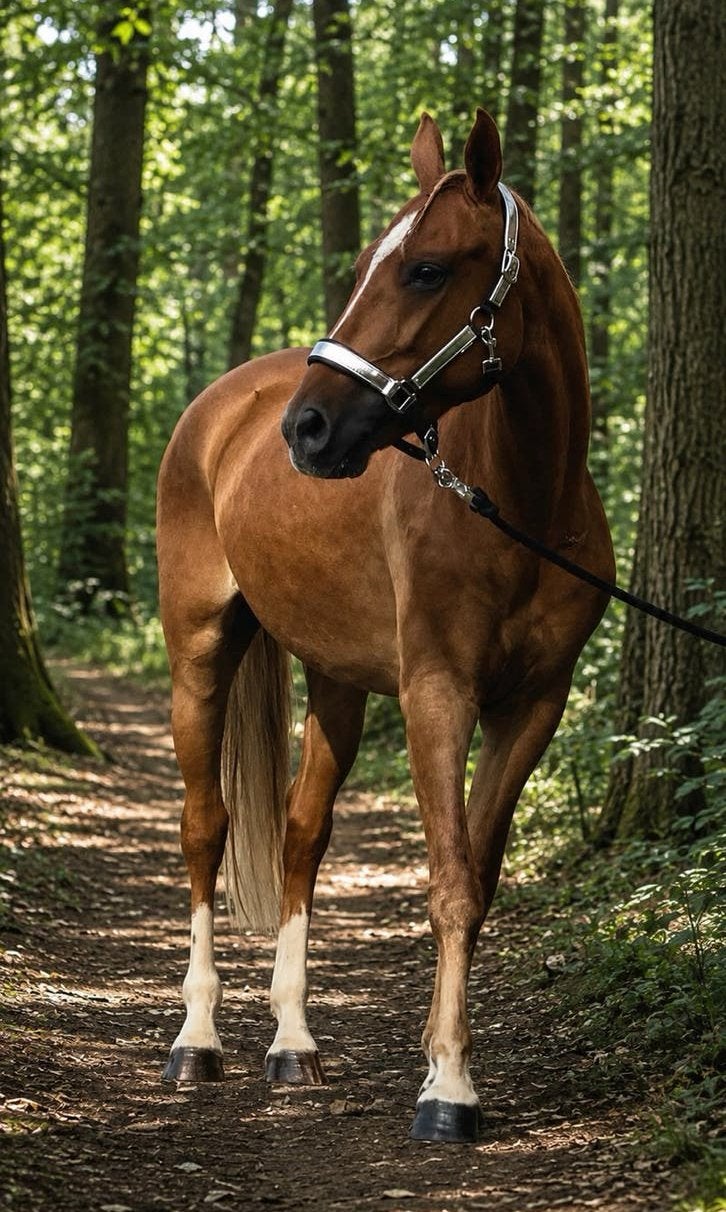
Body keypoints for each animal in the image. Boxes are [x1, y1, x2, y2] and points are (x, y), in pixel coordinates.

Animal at [156, 108, 614, 1143]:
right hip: (200, 656)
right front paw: (448, 1088)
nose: (308, 429)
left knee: (299, 836)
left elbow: (474, 880)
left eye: (428, 269)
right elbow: (448, 879)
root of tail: (224, 407)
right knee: (206, 829)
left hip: (336, 683)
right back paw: (197, 1039)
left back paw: (293, 1043)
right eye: (369, 261)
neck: (521, 503)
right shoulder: (437, 695)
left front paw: (442, 1057)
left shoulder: (533, 707)